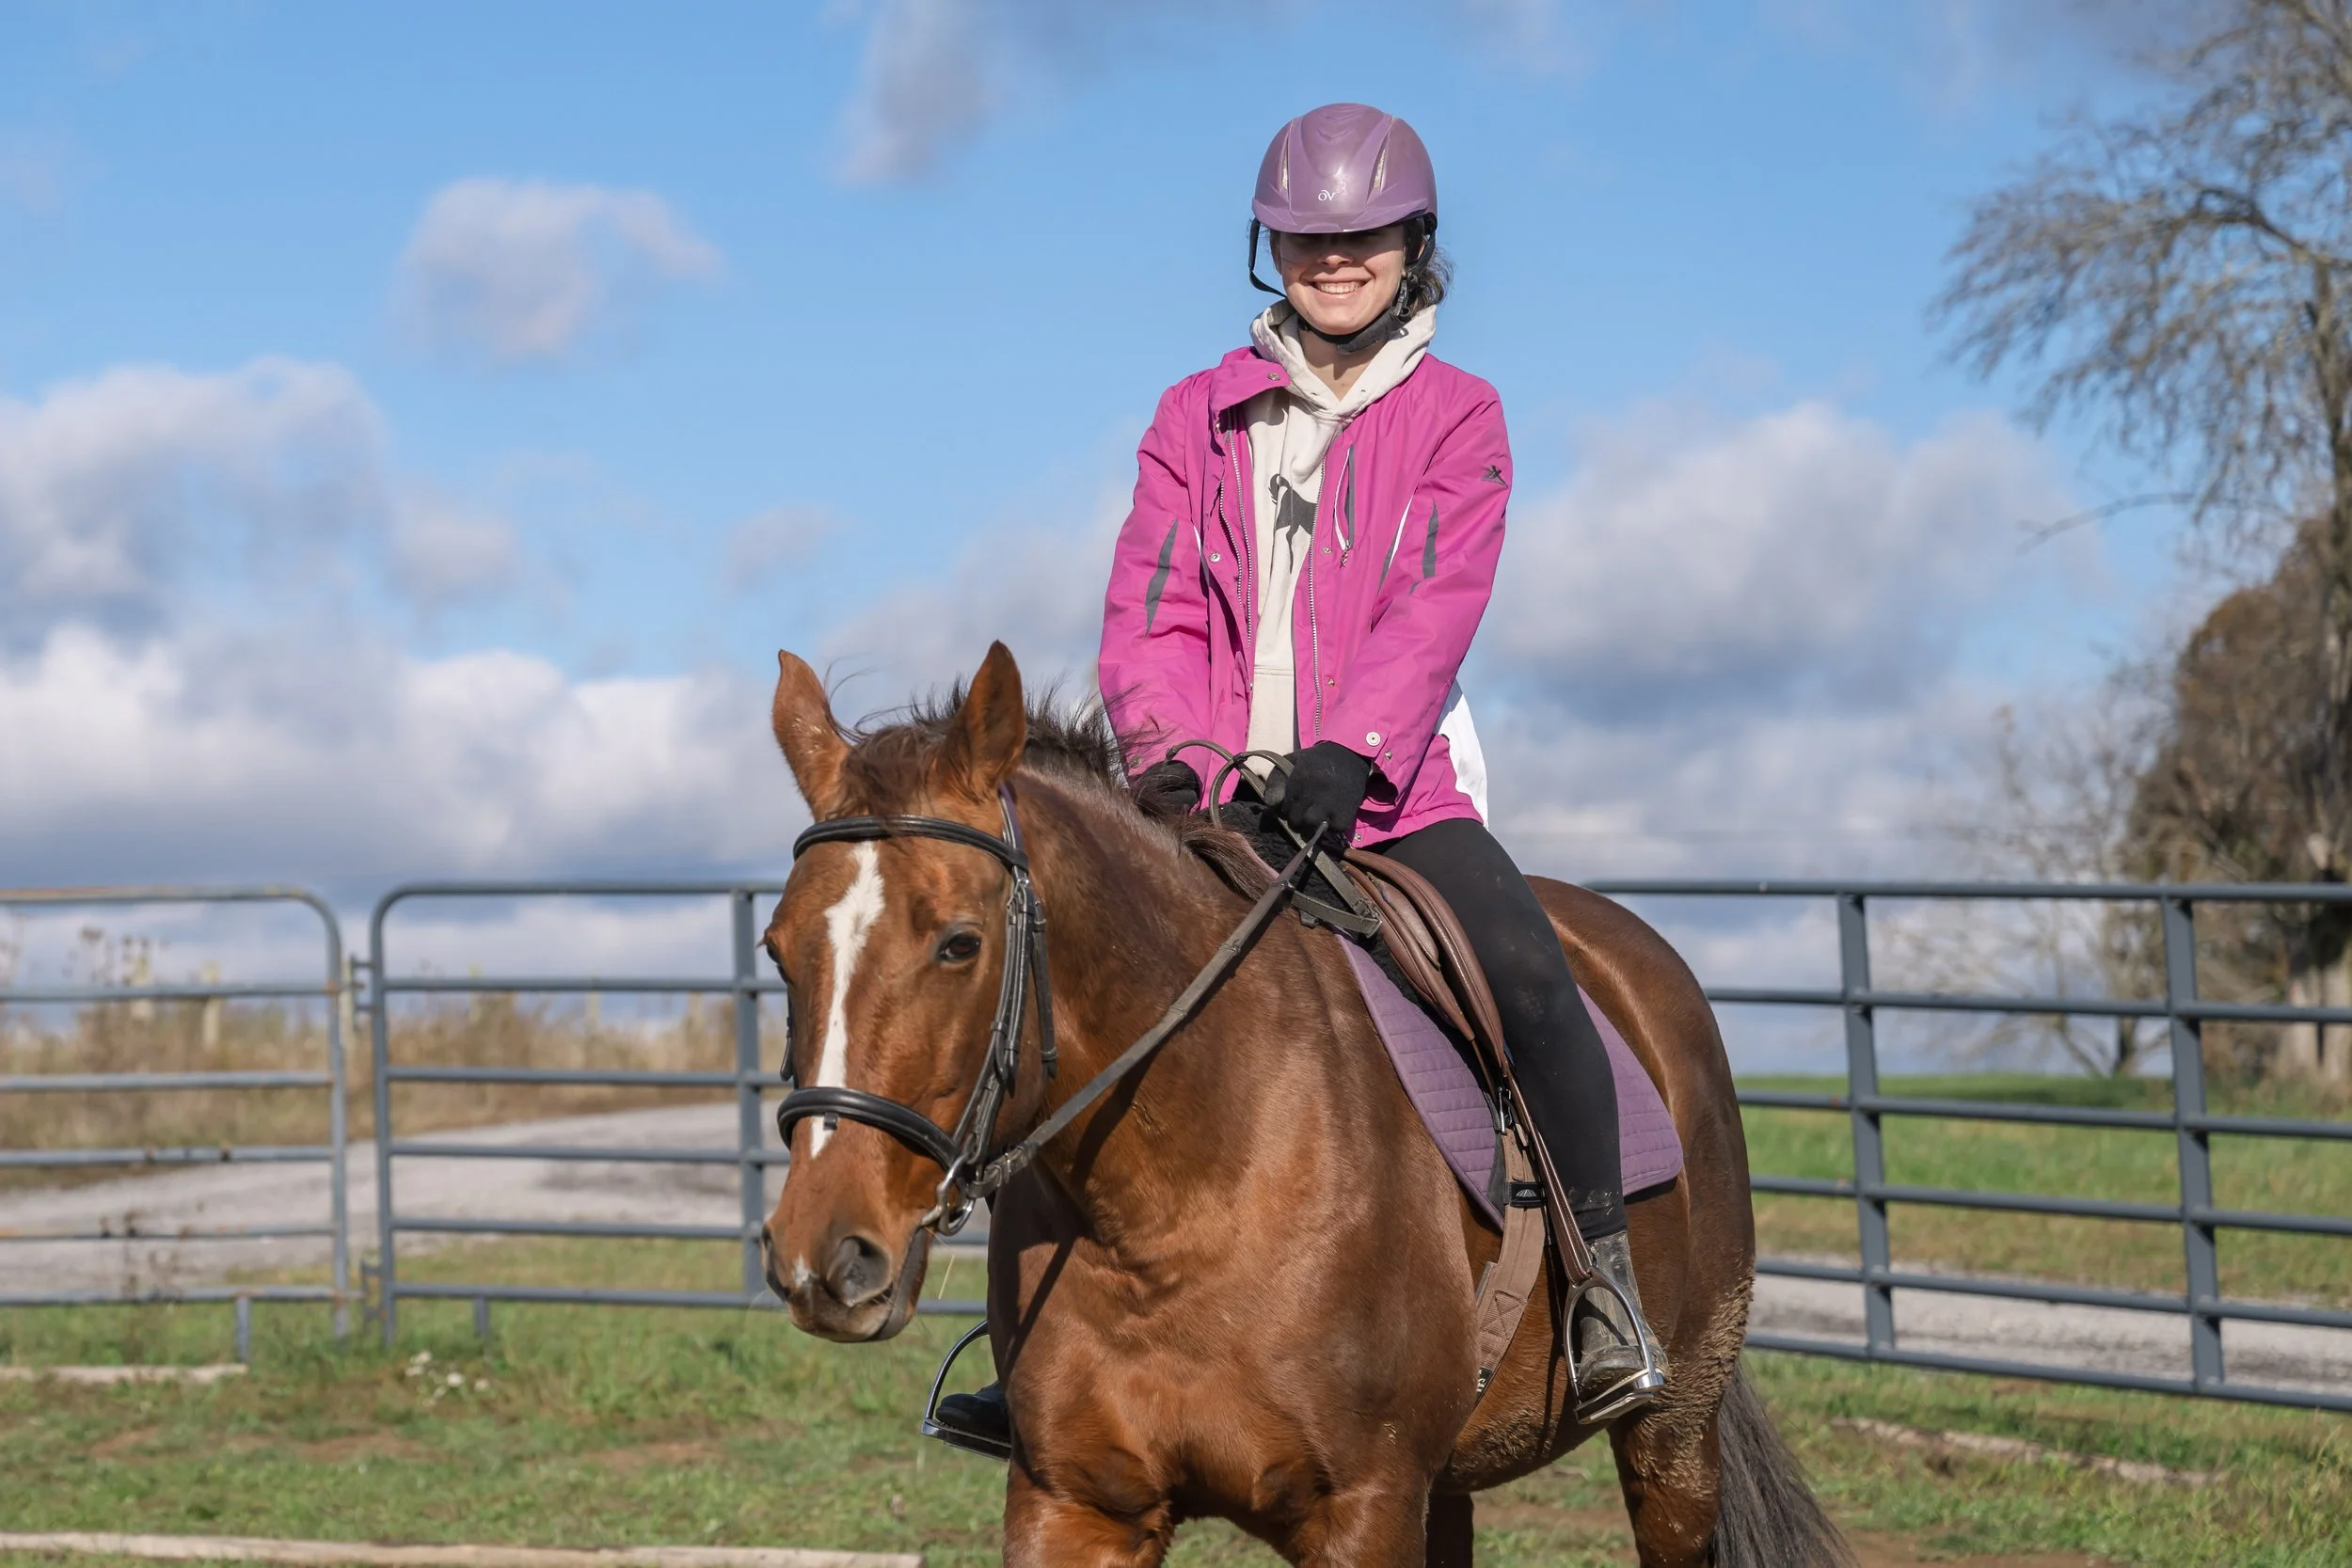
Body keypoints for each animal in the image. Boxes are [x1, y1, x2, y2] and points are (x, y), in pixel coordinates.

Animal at [757, 641, 1849, 1568]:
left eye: (959, 942)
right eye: (777, 947)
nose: (824, 1256)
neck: (1179, 1199)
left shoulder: (1360, 1511)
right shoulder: (1072, 1502)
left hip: (1673, 1435)